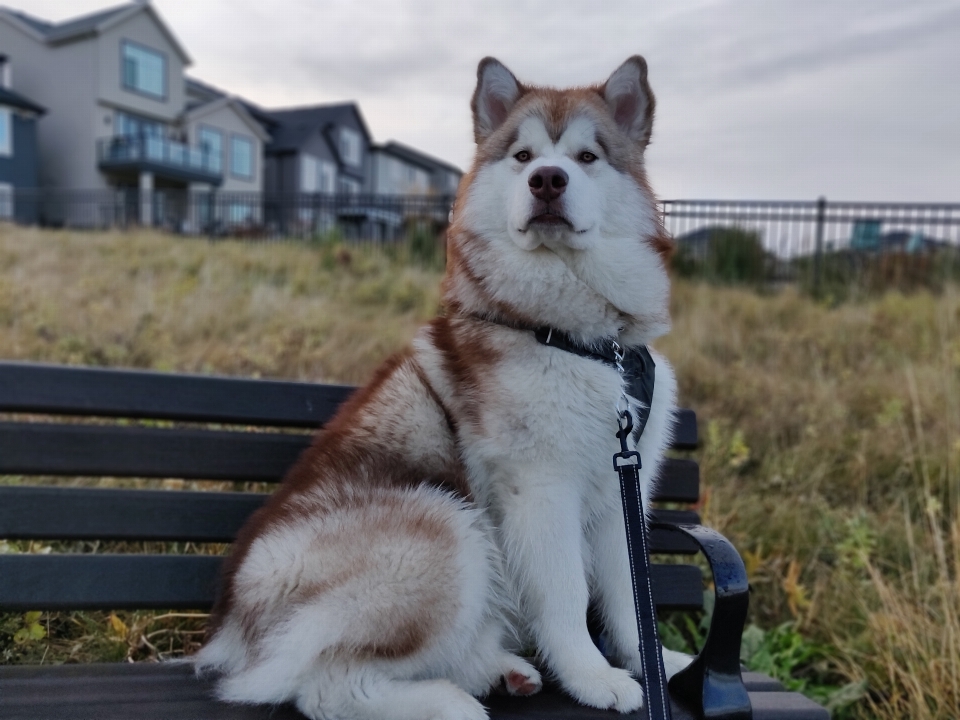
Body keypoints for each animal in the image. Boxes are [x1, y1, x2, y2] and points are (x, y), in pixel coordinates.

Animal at [197, 57, 688, 720]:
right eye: (523, 155)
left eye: (588, 156)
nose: (547, 180)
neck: (585, 338)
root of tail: (231, 623)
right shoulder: (540, 488)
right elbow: (565, 596)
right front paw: (592, 677)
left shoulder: (619, 488)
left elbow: (631, 599)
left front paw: (657, 663)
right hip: (445, 527)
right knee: (324, 685)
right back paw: (448, 702)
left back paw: (501, 672)